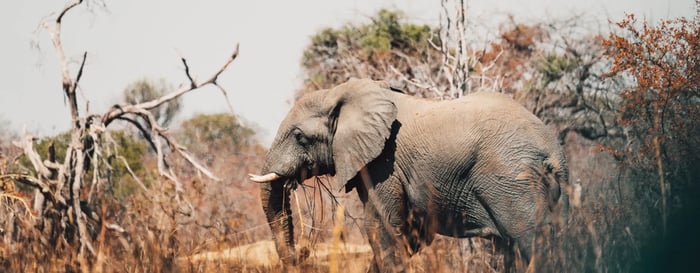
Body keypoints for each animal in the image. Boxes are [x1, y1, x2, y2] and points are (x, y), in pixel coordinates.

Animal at [252, 77, 568, 270]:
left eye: (299, 137)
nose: (302, 254)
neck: (343, 92)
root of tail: (555, 153)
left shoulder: (384, 165)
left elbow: (383, 229)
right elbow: (410, 235)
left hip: (514, 181)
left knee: (532, 243)